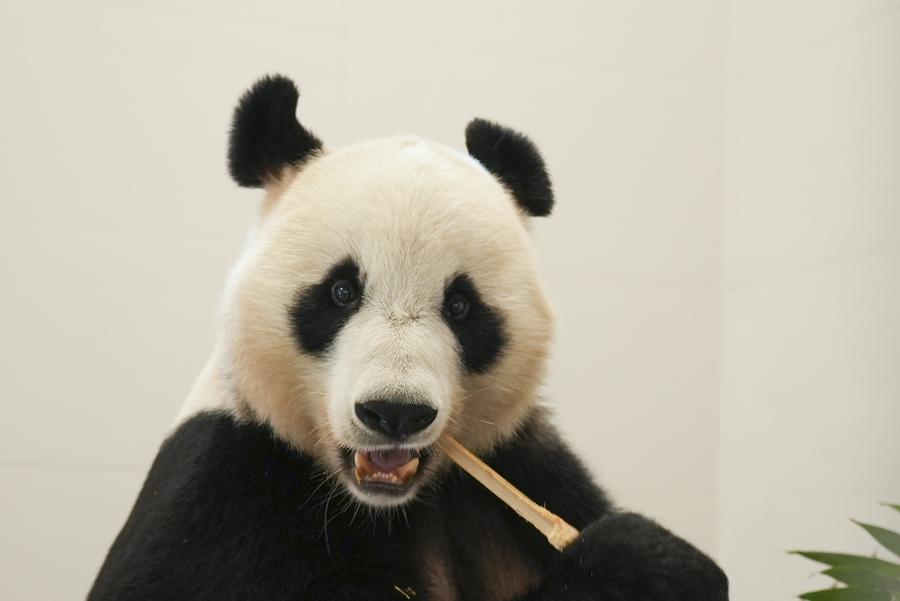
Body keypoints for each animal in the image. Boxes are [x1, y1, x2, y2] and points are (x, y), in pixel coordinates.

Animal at [88, 75, 728, 601]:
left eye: (462, 307)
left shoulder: (520, 464)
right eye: (341, 292)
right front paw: (635, 562)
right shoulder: (222, 492)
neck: (379, 506)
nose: (395, 413)